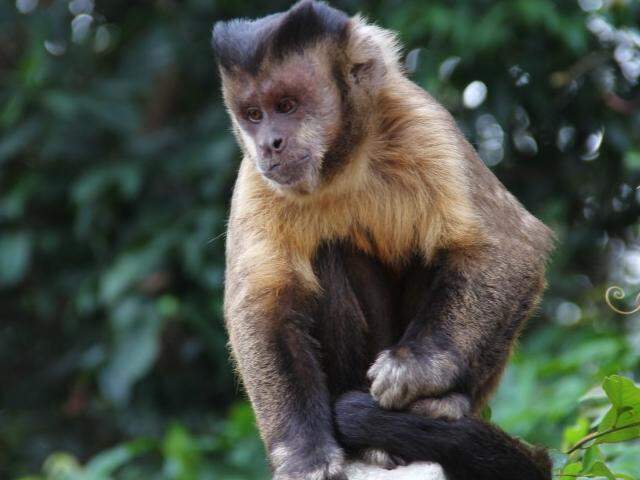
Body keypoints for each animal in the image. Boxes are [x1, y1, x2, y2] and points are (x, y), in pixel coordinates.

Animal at [212, 1, 552, 478]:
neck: (344, 163)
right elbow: (263, 308)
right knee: (328, 255)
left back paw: (446, 402)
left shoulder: (424, 122)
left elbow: (511, 247)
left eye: (286, 105)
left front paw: (417, 368)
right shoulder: (256, 180)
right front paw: (304, 453)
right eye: (254, 115)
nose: (270, 143)